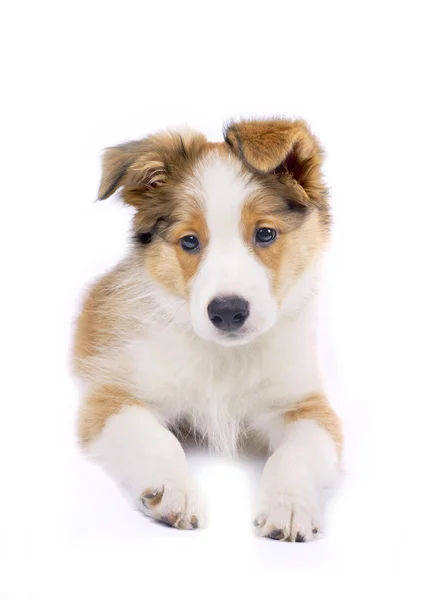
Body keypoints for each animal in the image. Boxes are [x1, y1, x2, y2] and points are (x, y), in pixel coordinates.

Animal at [72, 118, 342, 544]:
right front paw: (172, 490)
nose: (228, 312)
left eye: (265, 234)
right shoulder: (113, 394)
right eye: (189, 241)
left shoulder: (304, 403)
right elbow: (155, 436)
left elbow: (297, 453)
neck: (224, 357)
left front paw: (290, 506)